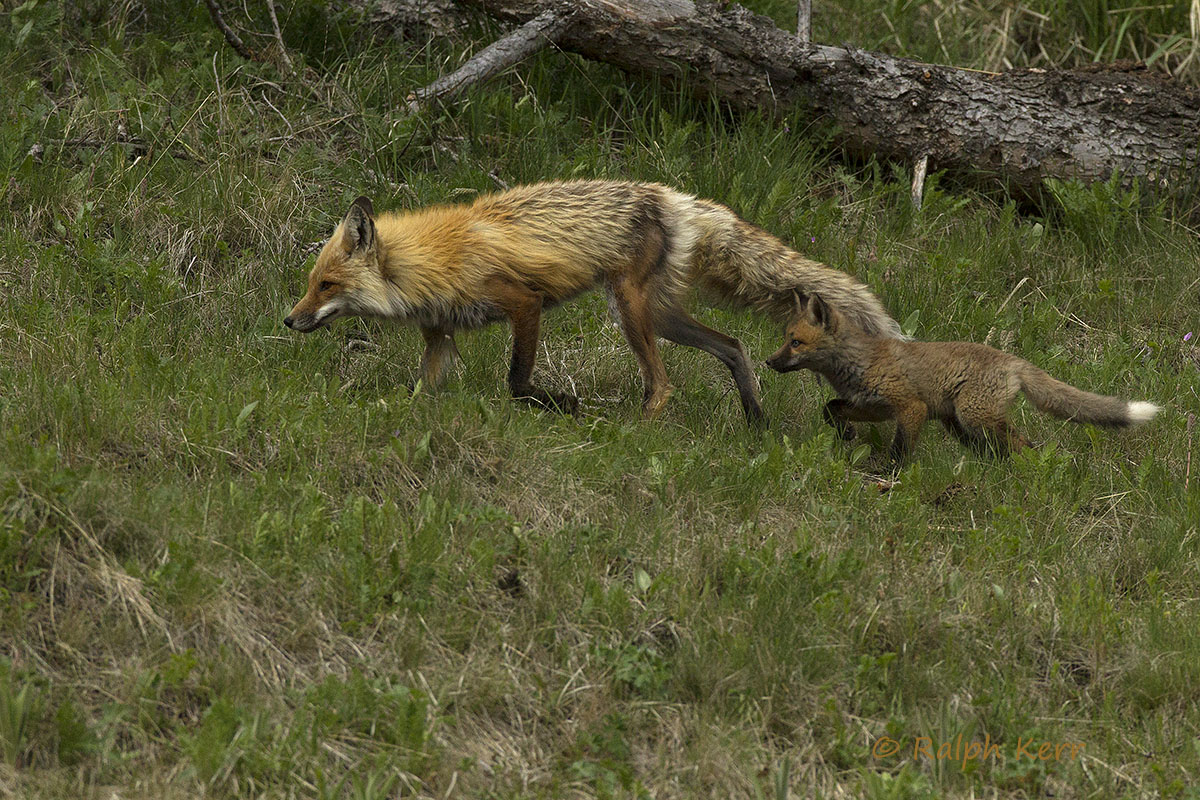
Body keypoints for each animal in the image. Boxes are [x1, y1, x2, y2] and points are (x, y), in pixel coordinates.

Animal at [285, 180, 901, 427]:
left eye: (326, 287)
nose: (288, 320)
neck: (429, 264)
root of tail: (676, 198)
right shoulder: (440, 335)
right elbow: (421, 393)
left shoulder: (523, 302)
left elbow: (517, 380)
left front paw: (562, 405)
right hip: (661, 316)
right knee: (733, 346)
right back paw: (755, 421)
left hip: (630, 311)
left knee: (663, 384)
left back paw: (636, 430)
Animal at [765, 292, 1160, 461]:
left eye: (795, 342)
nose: (769, 362)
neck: (858, 364)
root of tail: (1014, 360)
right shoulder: (872, 406)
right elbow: (830, 408)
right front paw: (846, 432)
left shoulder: (911, 408)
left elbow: (900, 450)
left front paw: (890, 475)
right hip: (959, 424)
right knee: (1001, 451)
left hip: (973, 417)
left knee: (1024, 445)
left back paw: (1029, 472)